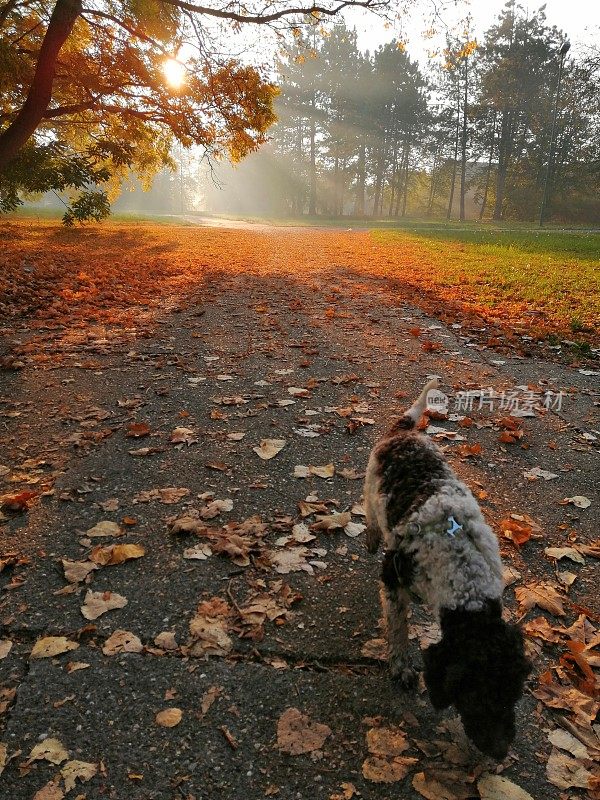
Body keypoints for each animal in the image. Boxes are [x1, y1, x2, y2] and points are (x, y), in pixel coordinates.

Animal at [364, 378, 532, 760]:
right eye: (473, 695)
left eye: (514, 694)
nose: (500, 752)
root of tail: (404, 431)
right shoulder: (393, 577)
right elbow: (398, 631)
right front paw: (401, 667)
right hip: (370, 491)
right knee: (370, 520)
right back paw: (370, 538)